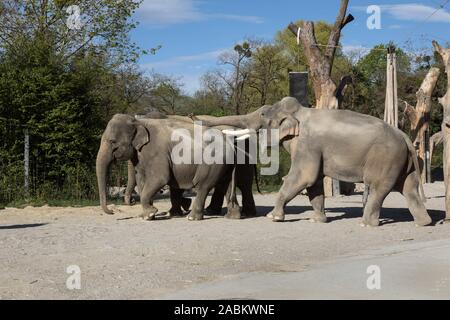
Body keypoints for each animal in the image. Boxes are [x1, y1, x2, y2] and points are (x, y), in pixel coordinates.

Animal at [96, 114, 255, 221]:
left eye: (112, 141)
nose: (112, 212)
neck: (139, 121)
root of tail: (230, 143)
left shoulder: (156, 151)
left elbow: (160, 178)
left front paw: (151, 213)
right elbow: (142, 180)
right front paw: (147, 215)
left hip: (213, 161)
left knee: (204, 185)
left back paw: (192, 217)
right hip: (225, 163)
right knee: (226, 184)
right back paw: (233, 216)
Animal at [193, 96, 432, 226]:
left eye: (262, 115)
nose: (194, 116)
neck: (300, 113)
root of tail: (404, 137)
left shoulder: (308, 144)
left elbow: (302, 177)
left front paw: (273, 217)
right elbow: (314, 182)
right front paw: (316, 220)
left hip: (385, 158)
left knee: (378, 187)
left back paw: (366, 224)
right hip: (404, 162)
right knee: (409, 188)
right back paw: (424, 223)